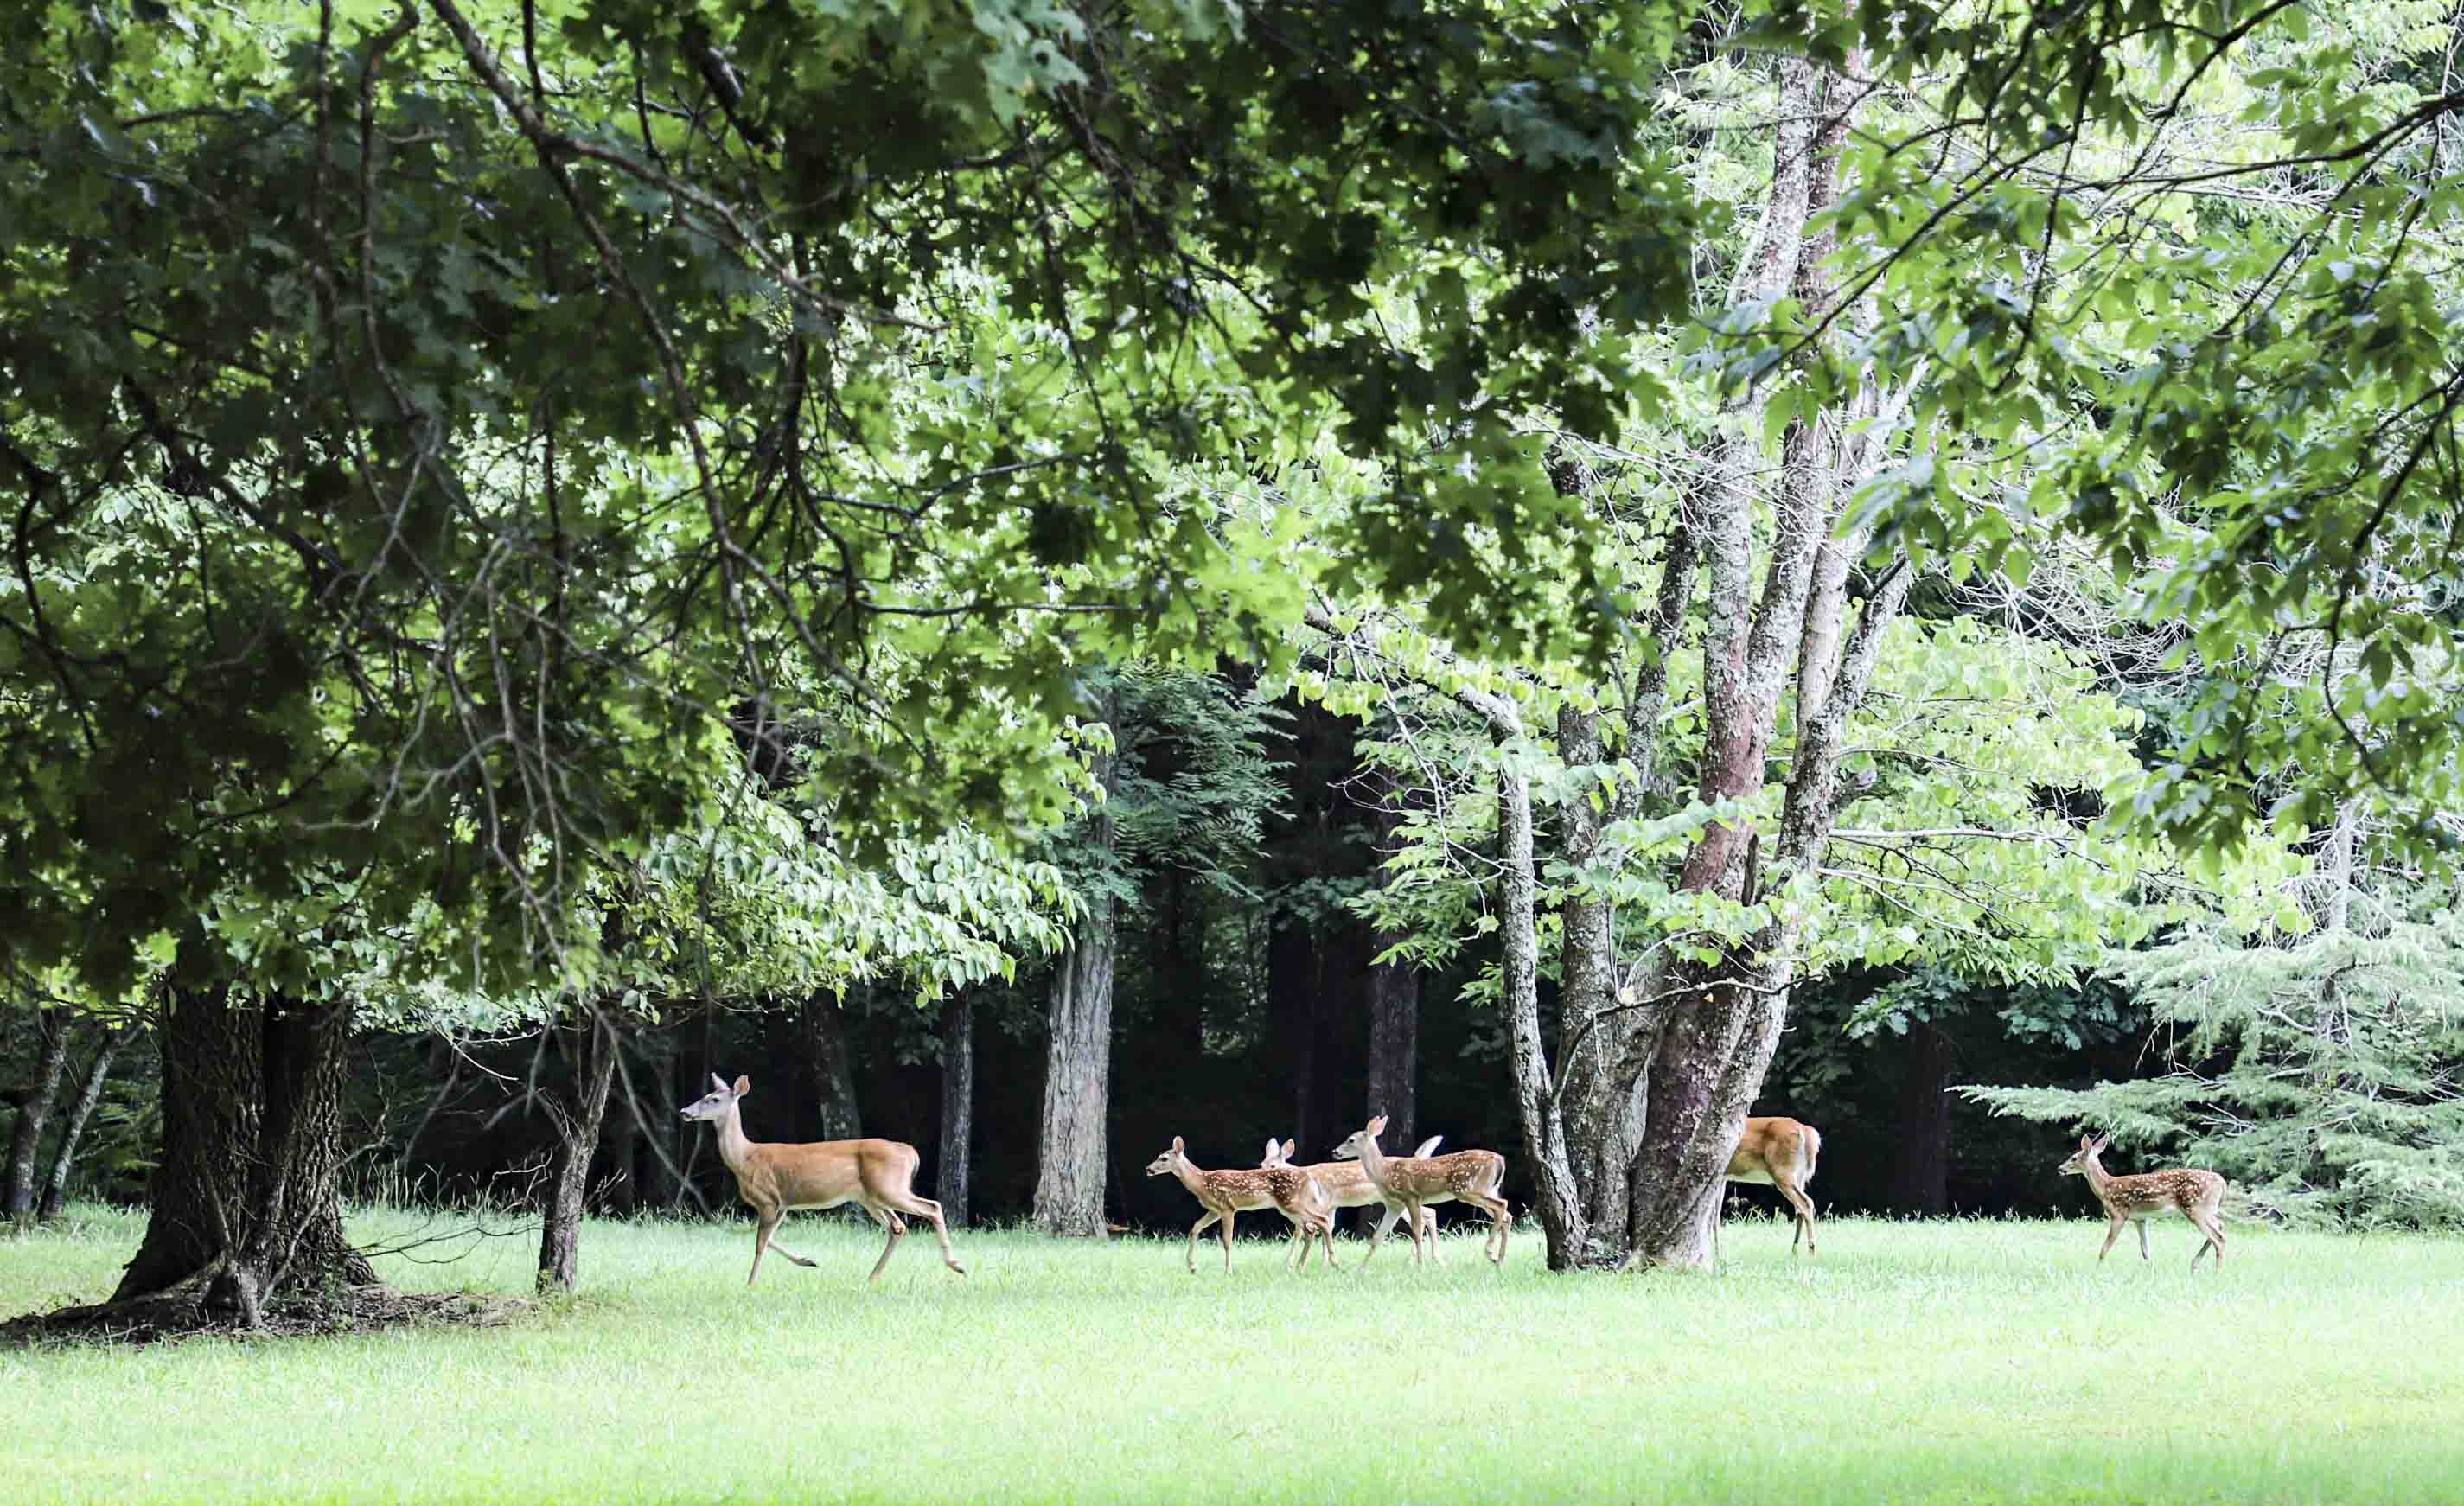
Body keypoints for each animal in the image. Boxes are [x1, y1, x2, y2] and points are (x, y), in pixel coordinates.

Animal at [694, 1075, 970, 1281]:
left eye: (714, 1099)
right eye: (704, 1097)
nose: (687, 1112)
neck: (744, 1158)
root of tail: (910, 1152)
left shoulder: (768, 1199)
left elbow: (760, 1242)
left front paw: (751, 1282)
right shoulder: (783, 1202)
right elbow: (767, 1238)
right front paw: (808, 1261)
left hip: (889, 1188)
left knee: (931, 1207)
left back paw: (956, 1264)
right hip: (870, 1196)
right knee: (898, 1226)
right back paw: (873, 1277)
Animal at [1143, 1143, 1340, 1272]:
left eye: (1163, 1158)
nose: (1148, 1169)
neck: (1202, 1183)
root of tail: (1309, 1176)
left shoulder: (1227, 1207)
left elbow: (1227, 1241)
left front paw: (1228, 1271)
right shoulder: (1214, 1210)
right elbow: (1195, 1228)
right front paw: (1192, 1266)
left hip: (1292, 1202)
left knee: (1322, 1220)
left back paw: (1333, 1262)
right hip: (1290, 1207)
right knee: (1310, 1230)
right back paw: (1300, 1267)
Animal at [1251, 1133, 1439, 1261]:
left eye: (1273, 1166)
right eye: (1261, 1164)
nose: (1259, 1178)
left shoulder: (1320, 1203)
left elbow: (1302, 1231)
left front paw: (1290, 1264)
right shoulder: (1330, 1206)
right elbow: (1326, 1228)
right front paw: (1324, 1263)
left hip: (1399, 1199)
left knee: (1427, 1214)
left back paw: (1422, 1259)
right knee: (1427, 1214)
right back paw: (1422, 1259)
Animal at [1340, 1114, 1508, 1261]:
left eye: (1351, 1140)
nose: (1336, 1152)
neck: (1385, 1171)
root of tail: (1500, 1159)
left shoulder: (1411, 1197)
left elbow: (1417, 1233)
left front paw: (1420, 1266)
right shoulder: (1396, 1205)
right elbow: (1378, 1237)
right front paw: (1359, 1271)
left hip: (1466, 1189)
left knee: (1502, 1205)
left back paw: (1490, 1252)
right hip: (1488, 1189)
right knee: (1506, 1215)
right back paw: (1499, 1260)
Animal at [2050, 1139, 2227, 1261]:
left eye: (2073, 1158)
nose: (2060, 1168)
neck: (2106, 1188)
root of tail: (2222, 1182)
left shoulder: (2118, 1215)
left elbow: (2104, 1248)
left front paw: (2097, 1269)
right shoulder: (2140, 1219)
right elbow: (2145, 1251)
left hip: (2196, 1208)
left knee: (2219, 1238)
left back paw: (2214, 1272)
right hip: (2207, 1209)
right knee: (2220, 1228)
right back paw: (2194, 1264)